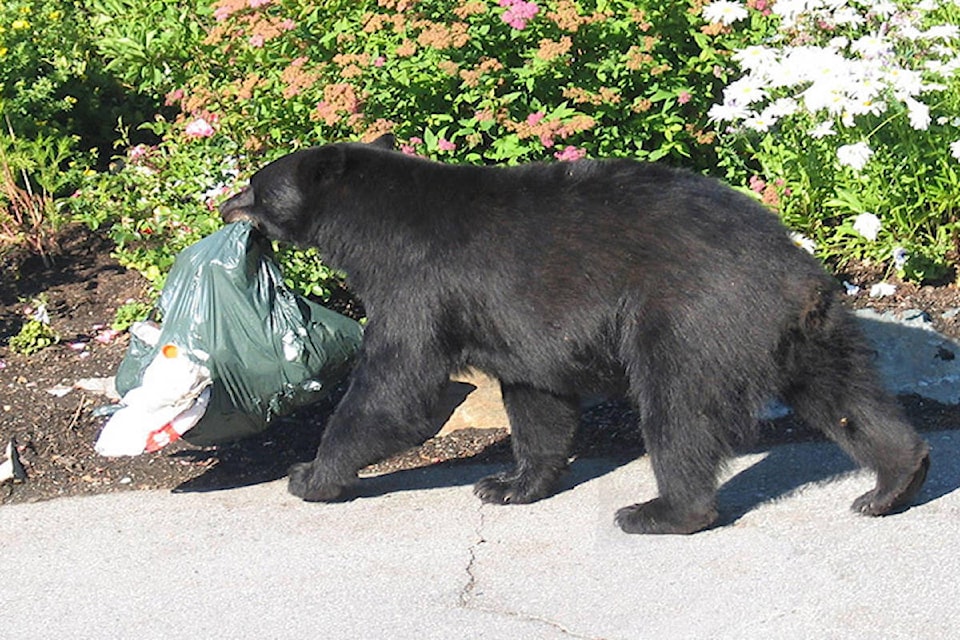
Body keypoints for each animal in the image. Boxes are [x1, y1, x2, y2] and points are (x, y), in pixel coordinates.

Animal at [223, 136, 928, 536]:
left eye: (256, 184)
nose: (224, 204)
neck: (370, 228)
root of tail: (794, 272)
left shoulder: (418, 284)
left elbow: (396, 388)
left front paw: (310, 474)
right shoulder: (516, 324)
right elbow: (537, 397)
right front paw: (510, 483)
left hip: (691, 321)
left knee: (680, 413)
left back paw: (661, 512)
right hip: (810, 336)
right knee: (847, 401)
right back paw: (894, 482)